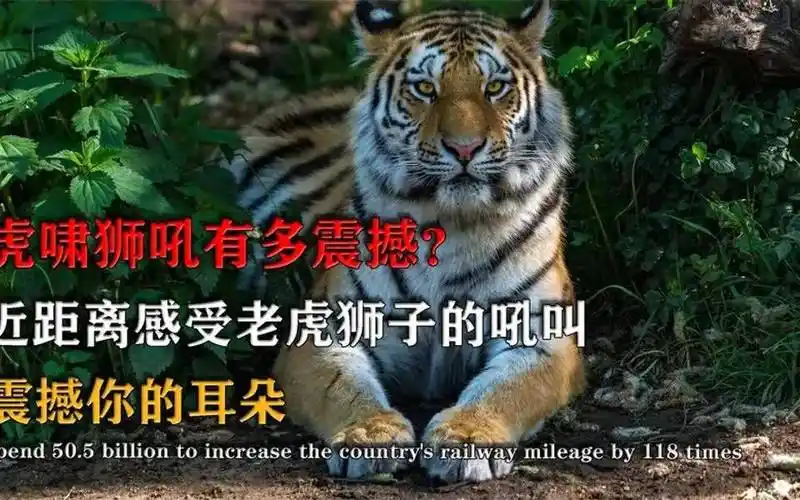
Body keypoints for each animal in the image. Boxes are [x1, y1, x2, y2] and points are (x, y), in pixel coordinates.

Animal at [222, 0, 586, 484]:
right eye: (425, 89)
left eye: (494, 88)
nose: (465, 148)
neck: (452, 224)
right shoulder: (324, 331)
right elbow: (343, 386)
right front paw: (370, 435)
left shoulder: (541, 336)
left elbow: (506, 389)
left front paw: (466, 438)